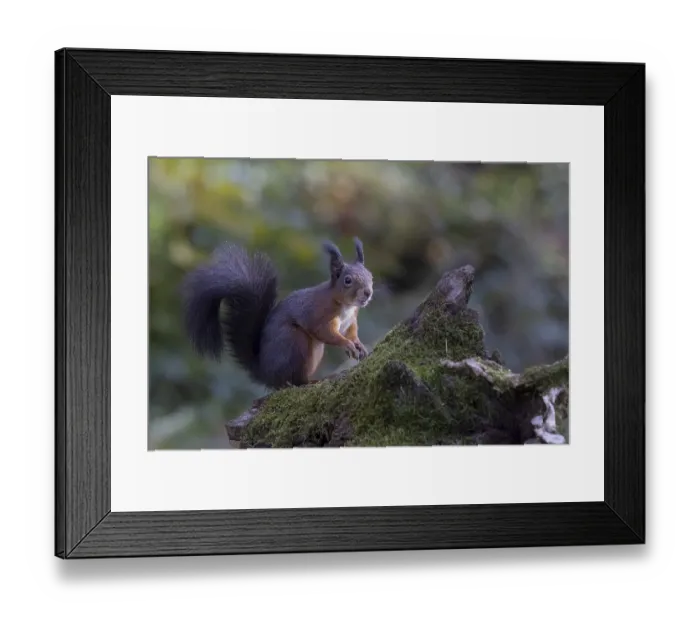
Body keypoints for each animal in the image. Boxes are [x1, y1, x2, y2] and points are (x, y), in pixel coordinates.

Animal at [180, 237, 374, 390]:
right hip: (294, 342)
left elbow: (351, 332)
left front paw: (359, 344)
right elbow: (325, 332)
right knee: (294, 381)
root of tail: (265, 373)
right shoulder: (318, 314)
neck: (346, 306)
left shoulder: (350, 321)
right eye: (347, 280)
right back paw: (313, 381)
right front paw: (347, 344)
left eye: (371, 276)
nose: (368, 293)